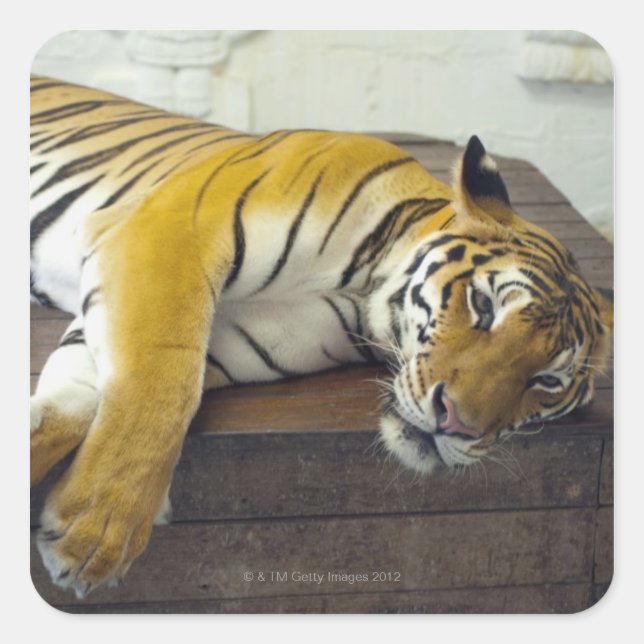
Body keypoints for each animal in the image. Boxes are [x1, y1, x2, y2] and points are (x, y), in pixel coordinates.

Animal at [29, 74, 613, 598]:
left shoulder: (235, 333)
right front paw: (95, 535)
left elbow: (83, 398)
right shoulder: (168, 233)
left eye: (546, 380)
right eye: (484, 305)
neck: (367, 292)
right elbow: (162, 385)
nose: (457, 425)